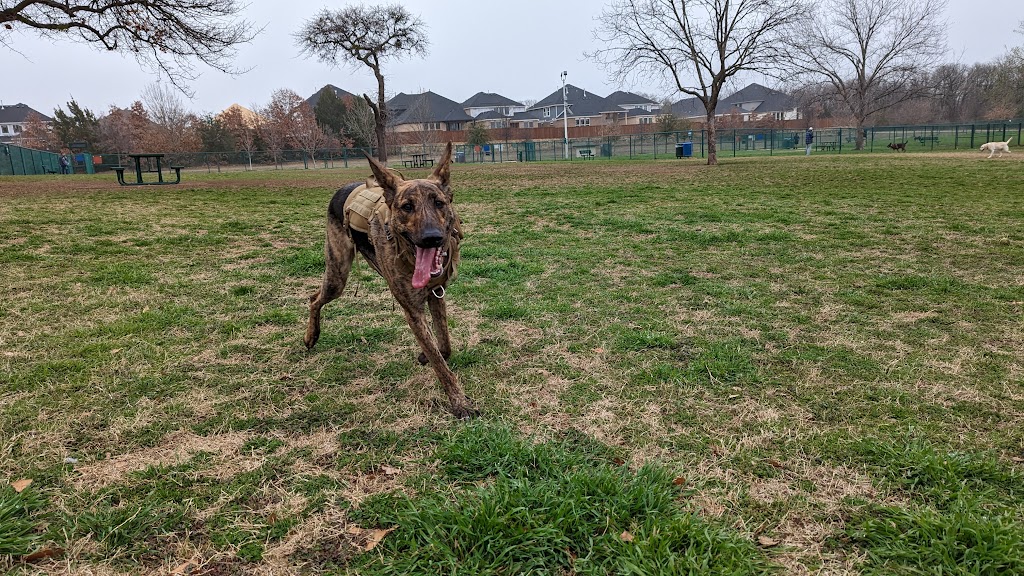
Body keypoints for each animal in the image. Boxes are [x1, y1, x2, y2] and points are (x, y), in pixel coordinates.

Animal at [301, 141, 477, 414]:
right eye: (407, 207)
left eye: (439, 203)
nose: (432, 238)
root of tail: (343, 188)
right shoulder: (413, 311)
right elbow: (440, 362)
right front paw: (459, 402)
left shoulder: (436, 295)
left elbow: (444, 346)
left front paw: (426, 355)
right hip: (337, 275)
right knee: (314, 298)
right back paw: (311, 336)